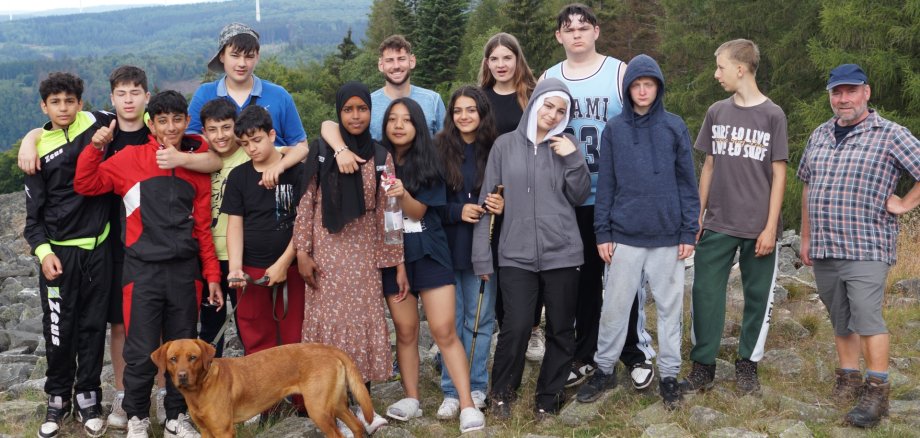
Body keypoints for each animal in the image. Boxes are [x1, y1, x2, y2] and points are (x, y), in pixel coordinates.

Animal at [153, 338, 376, 438]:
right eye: (173, 359)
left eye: (193, 357)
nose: (182, 376)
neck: (199, 390)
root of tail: (329, 348)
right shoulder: (206, 431)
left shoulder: (223, 430)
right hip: (336, 405)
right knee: (358, 426)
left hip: (318, 410)